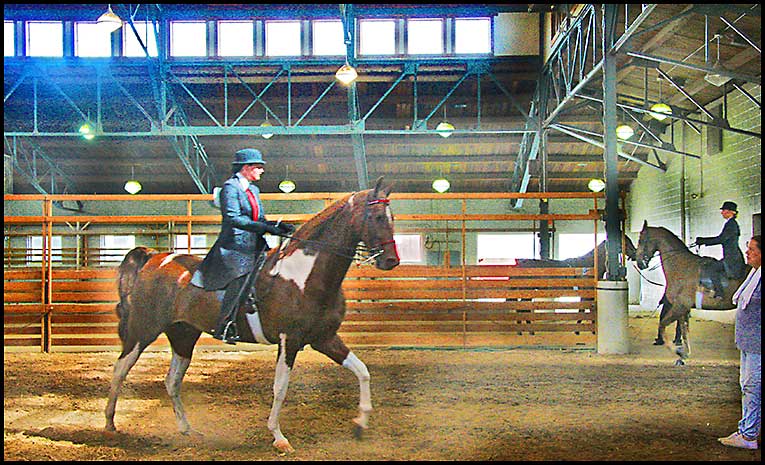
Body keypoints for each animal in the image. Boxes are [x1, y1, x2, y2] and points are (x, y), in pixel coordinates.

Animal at [106, 179, 400, 454]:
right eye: (377, 217)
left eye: (392, 217)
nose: (391, 261)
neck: (305, 275)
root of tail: (154, 258)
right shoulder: (289, 341)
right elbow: (280, 388)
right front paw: (279, 437)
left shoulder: (324, 338)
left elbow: (363, 372)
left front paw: (360, 424)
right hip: (143, 331)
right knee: (121, 369)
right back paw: (109, 425)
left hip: (183, 335)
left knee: (172, 381)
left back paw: (186, 429)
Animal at [632, 219, 748, 364]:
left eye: (641, 240)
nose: (640, 263)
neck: (681, 266)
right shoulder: (683, 309)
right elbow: (684, 330)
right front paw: (684, 354)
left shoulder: (680, 306)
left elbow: (664, 325)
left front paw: (677, 351)